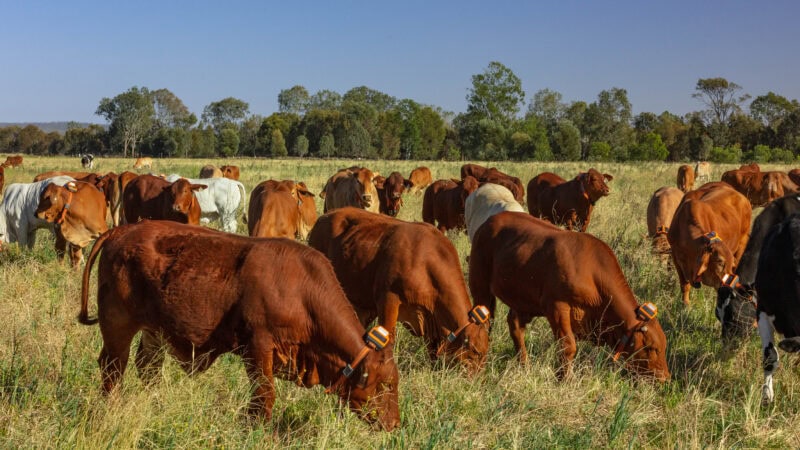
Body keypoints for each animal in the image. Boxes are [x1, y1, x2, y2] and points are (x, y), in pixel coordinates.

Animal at [77, 221, 400, 428]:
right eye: (386, 384)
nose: (395, 424)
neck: (302, 291)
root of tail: (121, 230)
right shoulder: (258, 348)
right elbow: (264, 396)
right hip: (117, 326)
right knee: (113, 368)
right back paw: (111, 408)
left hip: (153, 331)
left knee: (148, 368)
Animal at [468, 213, 668, 382]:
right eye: (652, 348)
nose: (665, 378)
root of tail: (490, 221)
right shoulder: (557, 307)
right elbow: (568, 346)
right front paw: (565, 379)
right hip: (479, 285)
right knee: (485, 322)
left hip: (523, 299)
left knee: (515, 325)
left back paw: (524, 365)